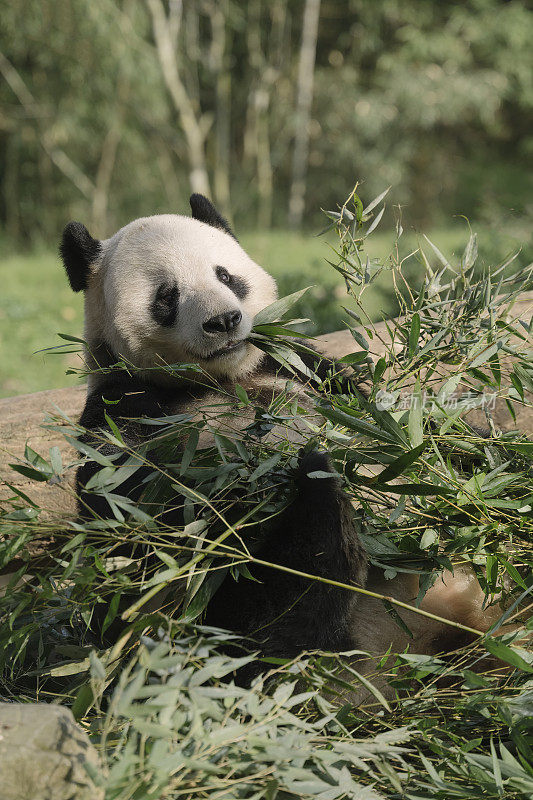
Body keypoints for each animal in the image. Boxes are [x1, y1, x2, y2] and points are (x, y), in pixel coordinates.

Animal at [59, 195, 502, 700]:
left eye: (225, 275)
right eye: (166, 296)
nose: (224, 320)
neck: (223, 378)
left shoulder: (302, 369)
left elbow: (402, 421)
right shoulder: (127, 414)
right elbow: (141, 532)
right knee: (282, 606)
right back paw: (317, 485)